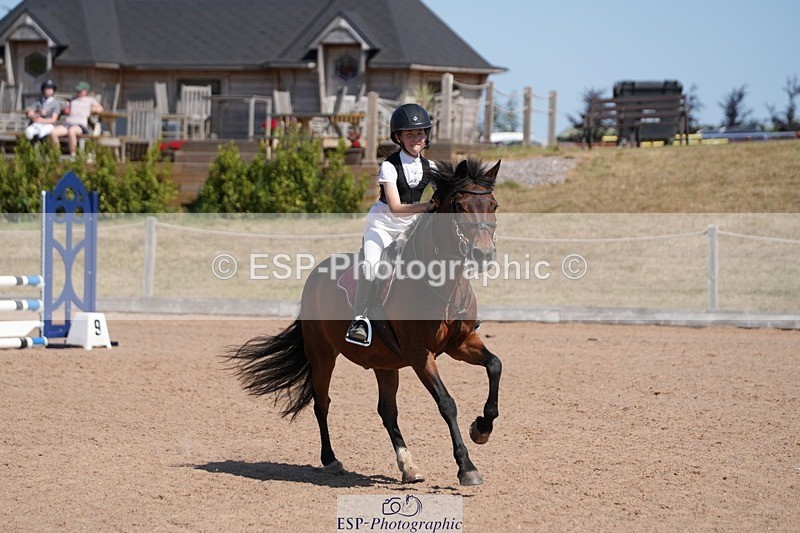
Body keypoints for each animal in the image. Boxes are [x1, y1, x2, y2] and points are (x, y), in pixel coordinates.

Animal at [228, 157, 503, 486]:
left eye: (493, 205)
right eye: (460, 206)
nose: (484, 254)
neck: (442, 283)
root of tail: (316, 274)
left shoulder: (460, 344)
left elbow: (495, 365)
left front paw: (482, 428)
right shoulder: (420, 354)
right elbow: (447, 403)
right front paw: (467, 467)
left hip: (384, 362)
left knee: (387, 411)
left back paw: (408, 466)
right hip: (322, 354)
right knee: (322, 402)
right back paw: (331, 460)